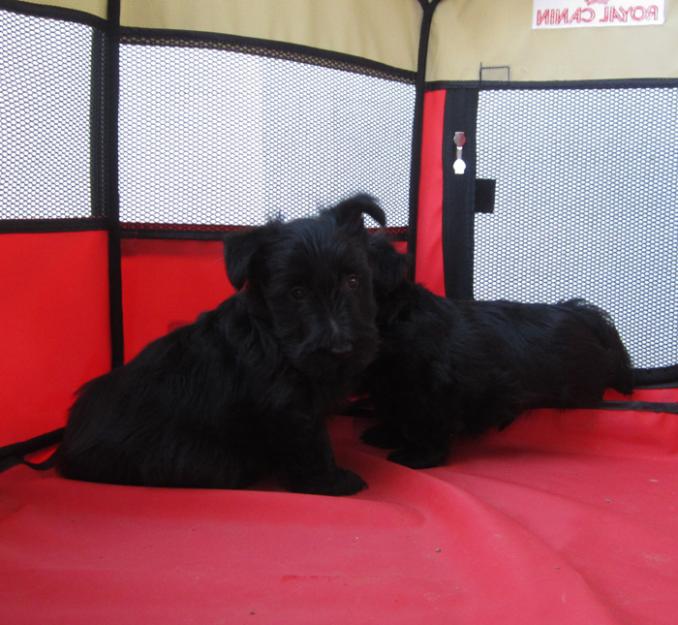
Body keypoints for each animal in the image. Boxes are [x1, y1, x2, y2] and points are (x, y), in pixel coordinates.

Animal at [57, 195, 388, 492]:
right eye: (297, 293)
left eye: (353, 281)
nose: (342, 350)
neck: (274, 338)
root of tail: (65, 450)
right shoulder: (291, 406)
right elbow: (312, 445)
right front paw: (333, 483)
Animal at [364, 234, 636, 468]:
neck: (395, 320)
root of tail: (583, 314)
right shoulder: (390, 389)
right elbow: (395, 413)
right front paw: (386, 434)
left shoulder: (430, 391)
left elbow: (426, 425)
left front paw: (418, 456)